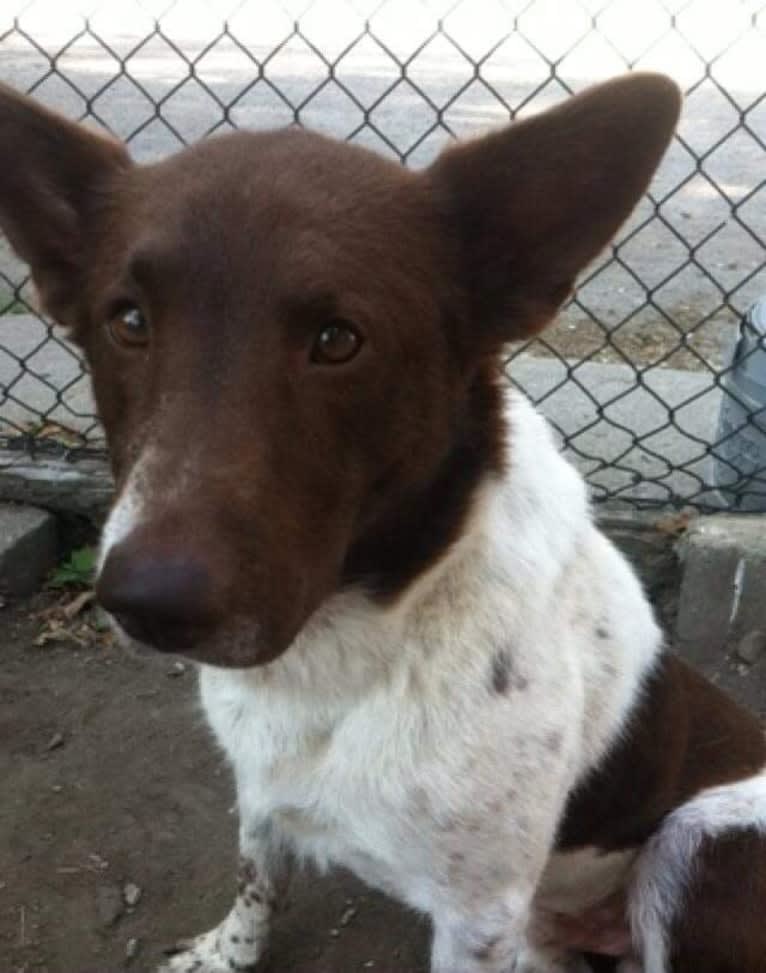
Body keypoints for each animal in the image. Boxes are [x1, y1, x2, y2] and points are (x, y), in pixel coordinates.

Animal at [1, 70, 766, 972]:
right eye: (128, 320)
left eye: (339, 340)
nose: (150, 601)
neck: (350, 640)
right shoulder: (263, 789)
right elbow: (256, 873)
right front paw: (229, 952)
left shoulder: (477, 916)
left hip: (696, 844)